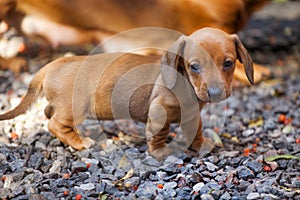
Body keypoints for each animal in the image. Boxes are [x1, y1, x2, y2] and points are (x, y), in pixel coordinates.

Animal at [0, 27, 253, 160]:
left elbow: (196, 131)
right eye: (194, 66)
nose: (215, 93)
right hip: (74, 109)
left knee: (47, 112)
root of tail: (49, 67)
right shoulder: (159, 112)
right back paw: (80, 142)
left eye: (228, 63)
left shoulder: (192, 116)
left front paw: (200, 145)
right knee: (55, 124)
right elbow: (159, 133)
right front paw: (160, 152)